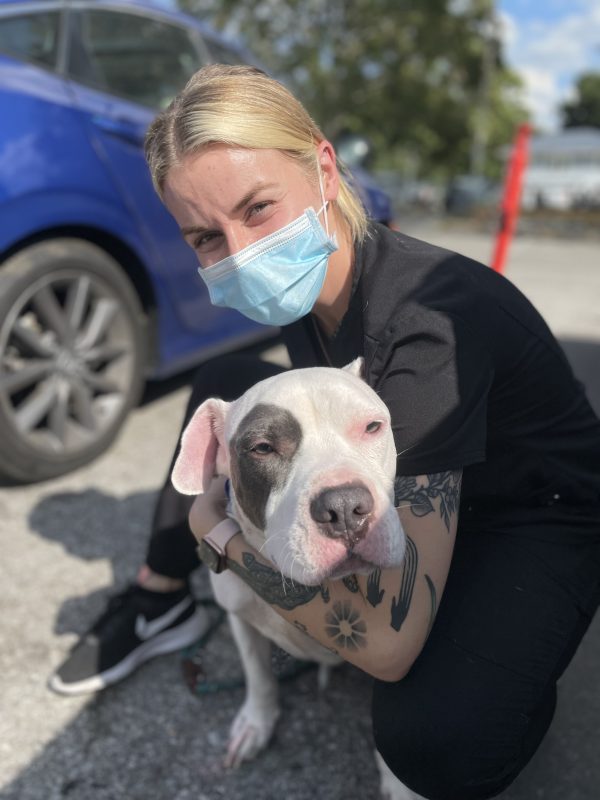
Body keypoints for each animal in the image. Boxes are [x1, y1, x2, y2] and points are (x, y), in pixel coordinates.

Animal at [169, 360, 422, 800]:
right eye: (262, 448)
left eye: (372, 426)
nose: (344, 506)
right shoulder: (238, 612)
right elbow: (256, 671)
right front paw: (257, 721)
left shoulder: (390, 647)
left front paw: (398, 783)